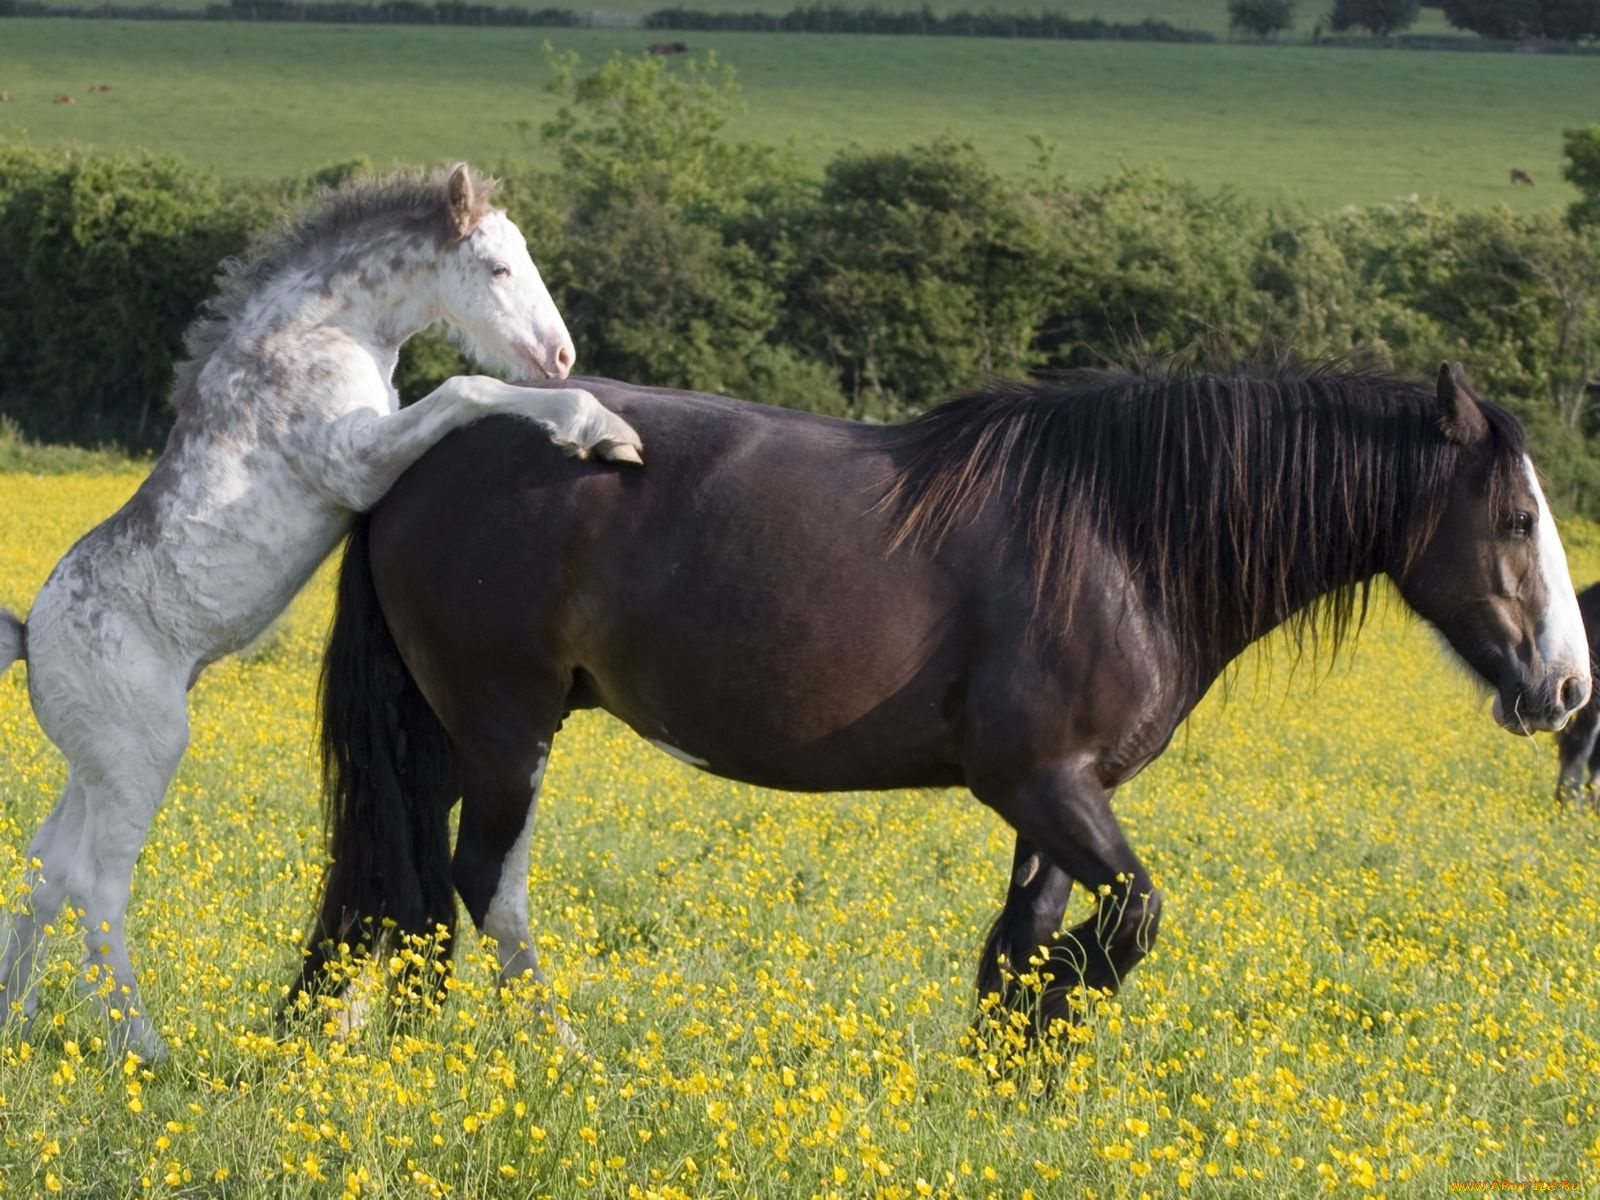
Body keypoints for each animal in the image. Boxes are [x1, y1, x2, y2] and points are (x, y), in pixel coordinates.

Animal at [294, 361, 1593, 1036]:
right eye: (1514, 518)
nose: (1565, 686)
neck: (1120, 540)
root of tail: (416, 458)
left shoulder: (1058, 800)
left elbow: (1022, 944)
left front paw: (1011, 1080)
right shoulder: (1040, 783)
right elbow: (1127, 923)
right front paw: (1042, 1039)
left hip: (452, 734)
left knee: (402, 890)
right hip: (505, 728)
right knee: (478, 885)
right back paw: (551, 1055)